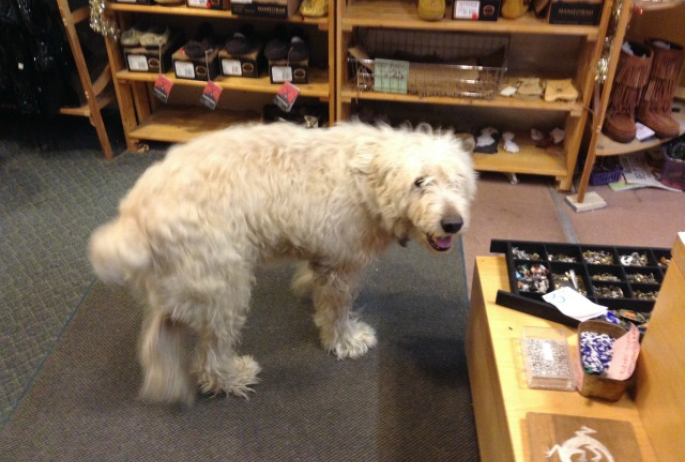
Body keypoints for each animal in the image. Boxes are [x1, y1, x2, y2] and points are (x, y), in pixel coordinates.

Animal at [89, 122, 476, 404]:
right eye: (420, 182)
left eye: (456, 182)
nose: (453, 223)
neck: (368, 179)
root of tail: (134, 217)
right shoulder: (341, 266)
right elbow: (336, 311)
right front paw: (345, 340)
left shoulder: (325, 254)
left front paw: (304, 285)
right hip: (224, 289)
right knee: (209, 356)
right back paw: (232, 378)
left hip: (184, 284)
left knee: (158, 336)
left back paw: (167, 384)